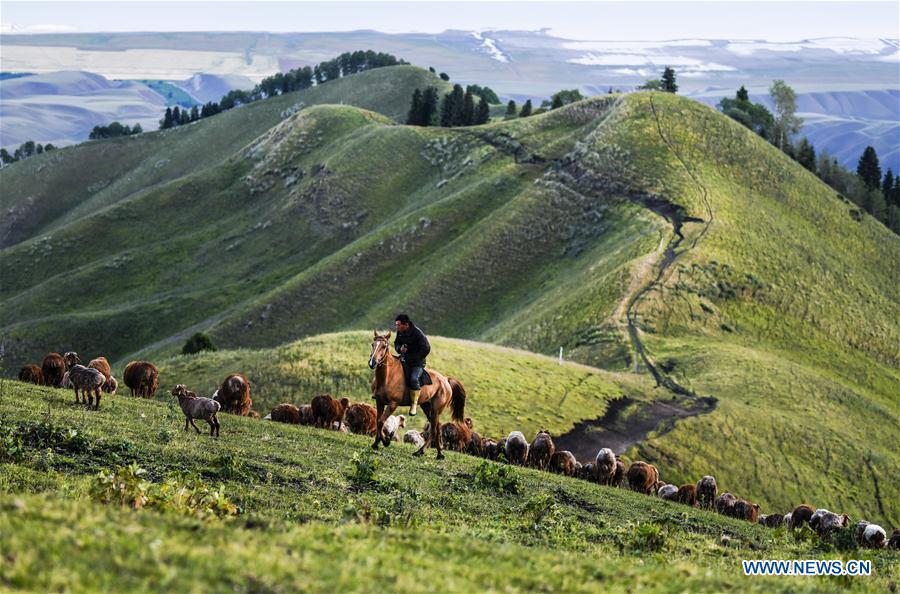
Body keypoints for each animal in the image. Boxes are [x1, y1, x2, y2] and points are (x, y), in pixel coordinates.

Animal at [368, 328, 468, 458]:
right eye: (373, 344)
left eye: (384, 346)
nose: (372, 362)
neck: (388, 376)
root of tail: (445, 380)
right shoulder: (379, 402)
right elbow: (378, 422)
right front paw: (376, 443)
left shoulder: (393, 404)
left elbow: (381, 421)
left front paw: (385, 441)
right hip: (427, 407)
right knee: (438, 427)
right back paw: (439, 454)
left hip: (436, 409)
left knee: (434, 430)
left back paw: (420, 451)